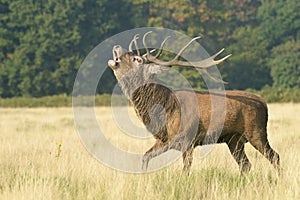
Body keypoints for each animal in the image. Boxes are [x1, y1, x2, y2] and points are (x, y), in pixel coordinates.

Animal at [108, 31, 282, 173]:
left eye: (136, 59)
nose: (116, 45)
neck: (165, 110)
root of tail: (264, 103)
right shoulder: (163, 140)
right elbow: (145, 157)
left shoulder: (187, 139)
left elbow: (186, 170)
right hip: (234, 139)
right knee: (245, 164)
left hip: (257, 132)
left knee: (275, 157)